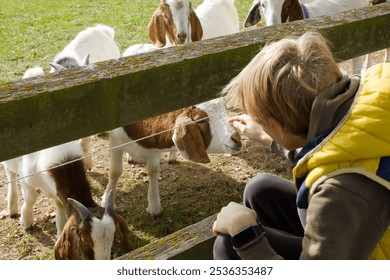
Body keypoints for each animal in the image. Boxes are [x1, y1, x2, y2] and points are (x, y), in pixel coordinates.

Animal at [1, 142, 134, 260]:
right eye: (85, 242)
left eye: (112, 239)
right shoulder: (27, 179)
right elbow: (31, 197)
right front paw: (26, 221)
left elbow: (60, 205)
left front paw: (60, 227)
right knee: (10, 174)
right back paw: (12, 207)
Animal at [103, 98, 244, 217]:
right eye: (200, 120)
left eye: (226, 109)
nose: (237, 139)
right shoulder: (115, 142)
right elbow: (115, 172)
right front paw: (106, 200)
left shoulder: (153, 151)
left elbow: (153, 171)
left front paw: (154, 206)